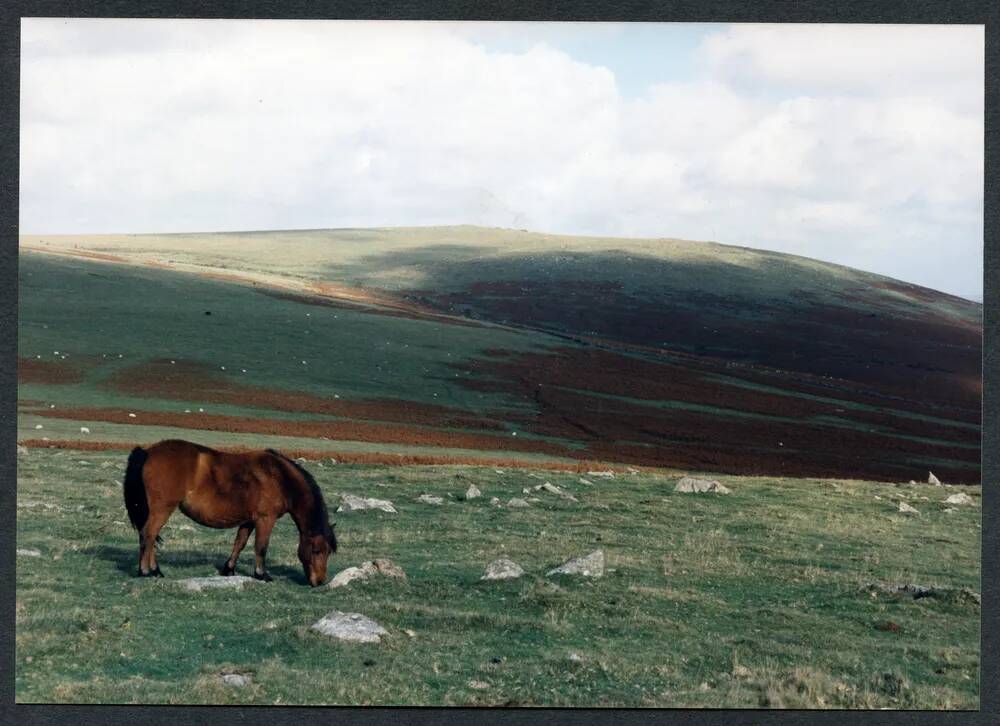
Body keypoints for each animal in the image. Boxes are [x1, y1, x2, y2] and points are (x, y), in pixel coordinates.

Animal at [122, 440, 336, 588]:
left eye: (328, 552)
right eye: (316, 551)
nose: (320, 582)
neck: (279, 477)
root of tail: (148, 452)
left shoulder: (249, 520)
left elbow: (239, 543)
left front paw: (229, 569)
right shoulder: (265, 519)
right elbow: (261, 547)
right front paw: (262, 574)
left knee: (149, 536)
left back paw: (155, 571)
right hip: (162, 509)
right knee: (148, 534)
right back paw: (146, 571)